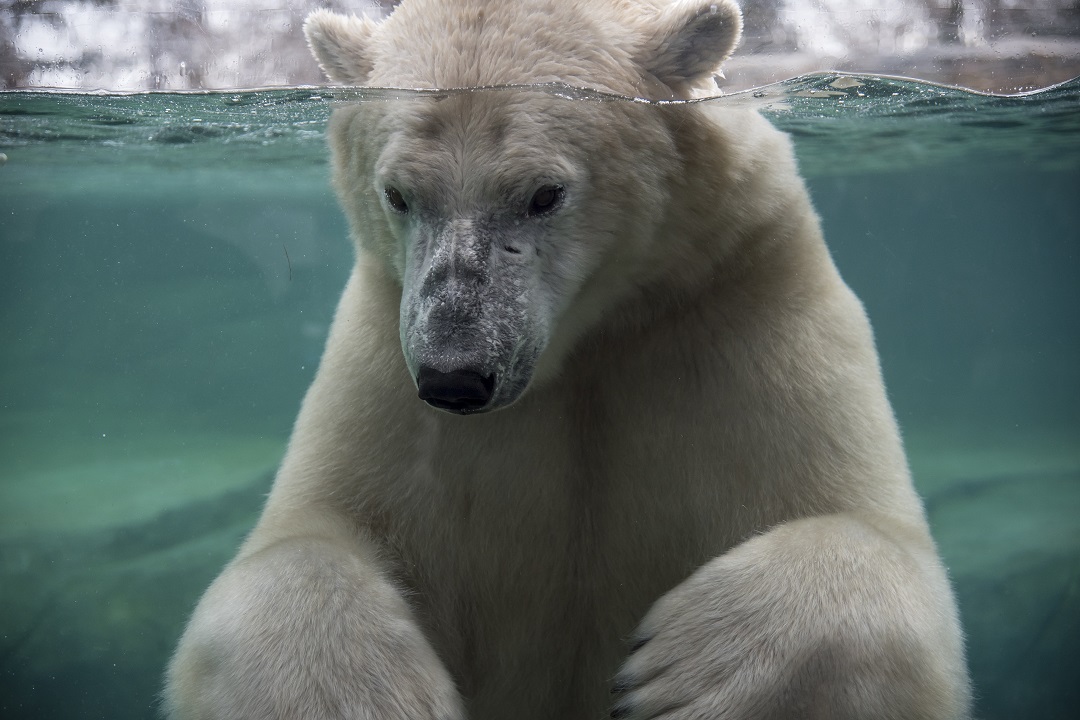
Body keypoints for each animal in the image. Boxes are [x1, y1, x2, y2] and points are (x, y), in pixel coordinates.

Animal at [165, 1, 972, 718]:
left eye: (543, 194)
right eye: (398, 194)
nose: (455, 377)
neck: (582, 343)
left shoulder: (741, 304)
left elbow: (871, 541)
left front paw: (683, 673)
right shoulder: (385, 361)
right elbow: (302, 538)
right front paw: (365, 694)